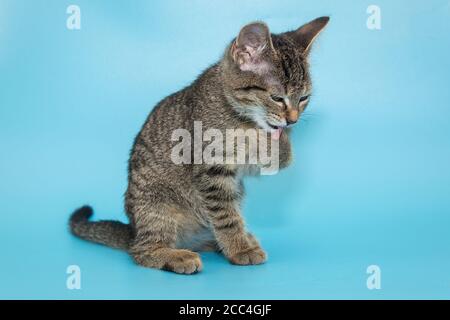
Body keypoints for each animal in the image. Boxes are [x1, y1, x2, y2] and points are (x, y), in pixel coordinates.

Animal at [70, 16, 330, 276]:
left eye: (304, 98)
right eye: (277, 98)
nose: (293, 120)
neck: (239, 116)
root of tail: (133, 230)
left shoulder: (243, 166)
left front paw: (280, 141)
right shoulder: (211, 169)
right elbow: (225, 216)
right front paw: (240, 249)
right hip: (157, 203)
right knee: (142, 251)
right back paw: (176, 255)